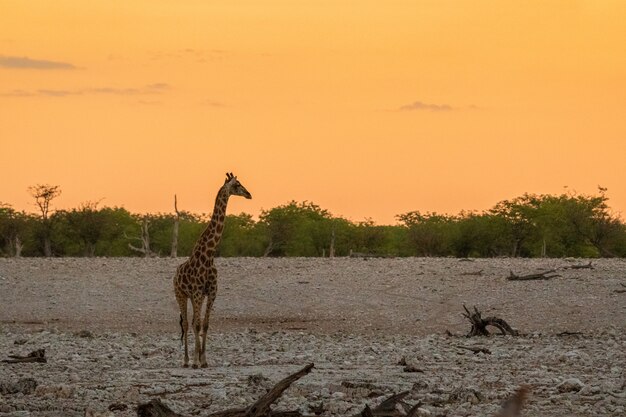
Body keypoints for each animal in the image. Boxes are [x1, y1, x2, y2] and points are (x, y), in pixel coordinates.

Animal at [173, 172, 251, 368]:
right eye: (237, 184)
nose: (249, 194)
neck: (208, 256)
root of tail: (175, 274)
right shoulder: (197, 293)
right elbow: (196, 325)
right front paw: (195, 361)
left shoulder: (211, 293)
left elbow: (205, 324)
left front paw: (204, 360)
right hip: (180, 294)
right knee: (186, 323)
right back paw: (186, 361)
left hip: (195, 297)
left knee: (194, 321)